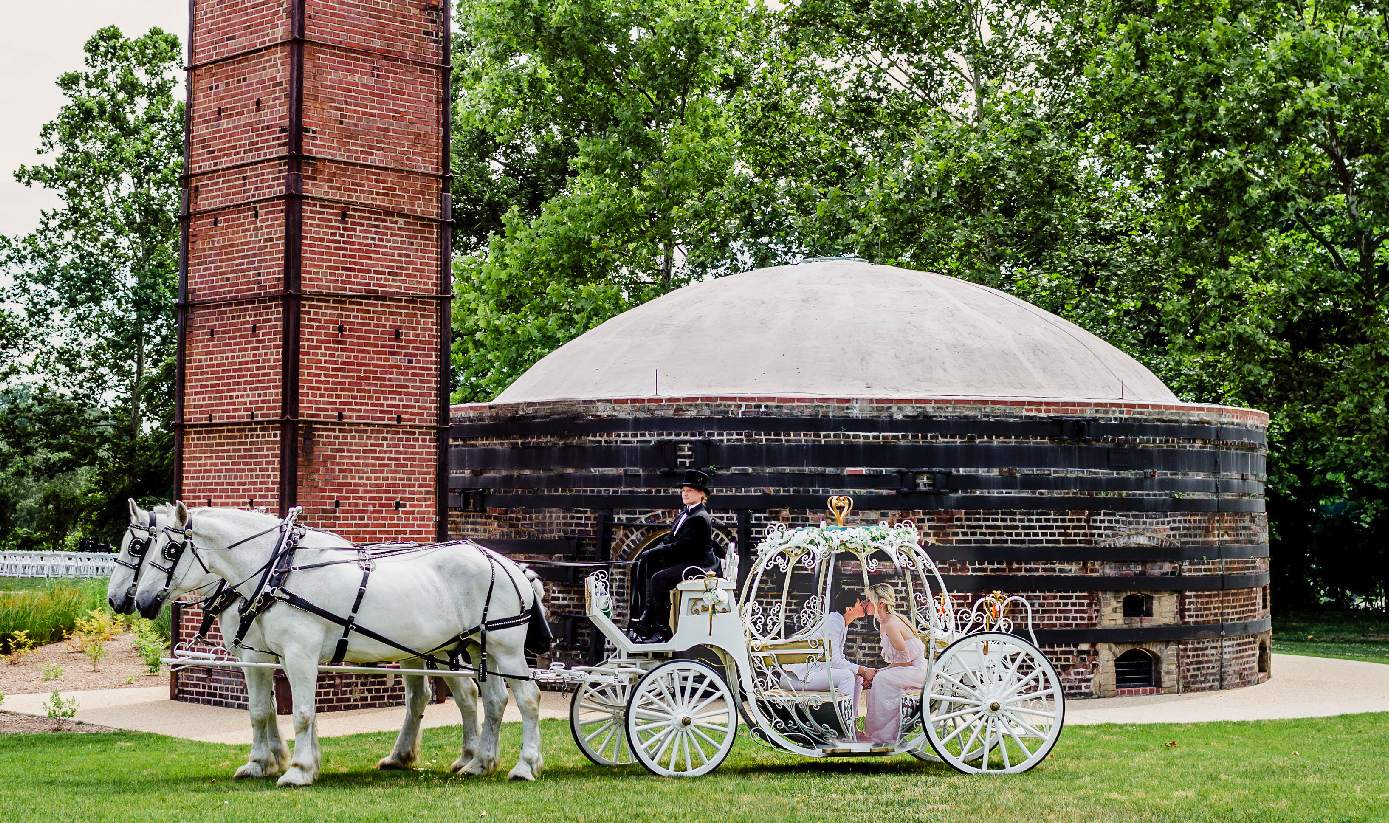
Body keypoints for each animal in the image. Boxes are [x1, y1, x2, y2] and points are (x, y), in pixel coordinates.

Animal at [130, 499, 541, 782]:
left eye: (168, 549)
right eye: (142, 548)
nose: (140, 601)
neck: (279, 571)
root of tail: (511, 566)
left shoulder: (297, 654)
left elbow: (301, 713)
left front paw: (297, 769)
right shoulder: (275, 656)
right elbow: (268, 711)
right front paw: (275, 764)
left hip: (505, 649)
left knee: (528, 699)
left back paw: (525, 765)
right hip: (475, 647)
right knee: (493, 701)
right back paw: (479, 763)